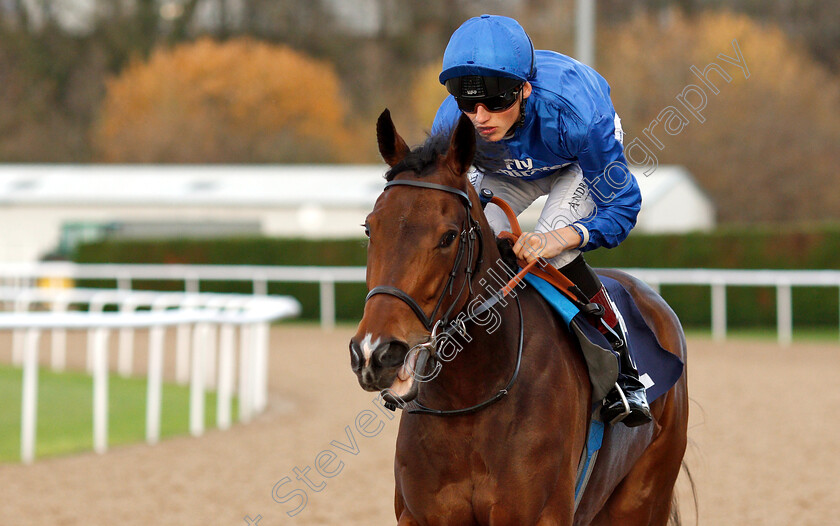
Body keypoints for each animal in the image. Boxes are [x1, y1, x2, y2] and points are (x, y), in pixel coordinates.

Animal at [348, 109, 688, 524]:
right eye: (370, 227)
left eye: (448, 237)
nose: (375, 353)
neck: (472, 398)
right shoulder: (420, 515)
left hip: (643, 496)